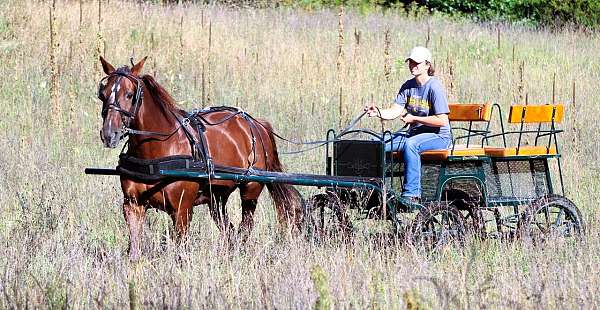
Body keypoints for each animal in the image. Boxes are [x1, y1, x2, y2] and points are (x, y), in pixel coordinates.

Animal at [99, 56, 304, 260]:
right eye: (103, 94)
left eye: (129, 94)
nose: (109, 134)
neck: (157, 152)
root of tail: (257, 124)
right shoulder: (133, 206)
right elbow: (134, 250)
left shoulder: (181, 210)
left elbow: (180, 251)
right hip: (217, 198)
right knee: (228, 230)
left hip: (251, 189)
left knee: (245, 227)